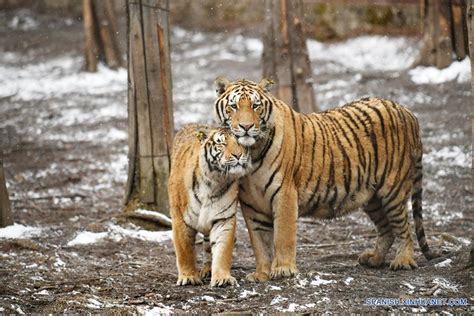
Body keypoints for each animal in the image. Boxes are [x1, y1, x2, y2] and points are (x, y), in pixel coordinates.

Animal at [214, 76, 436, 282]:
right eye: (234, 106)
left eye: (255, 105)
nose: (246, 126)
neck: (252, 152)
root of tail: (406, 110)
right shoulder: (251, 204)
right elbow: (260, 243)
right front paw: (261, 273)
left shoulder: (284, 194)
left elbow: (283, 236)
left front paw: (283, 270)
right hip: (372, 196)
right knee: (386, 228)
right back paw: (374, 258)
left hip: (392, 190)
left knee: (404, 227)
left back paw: (403, 261)